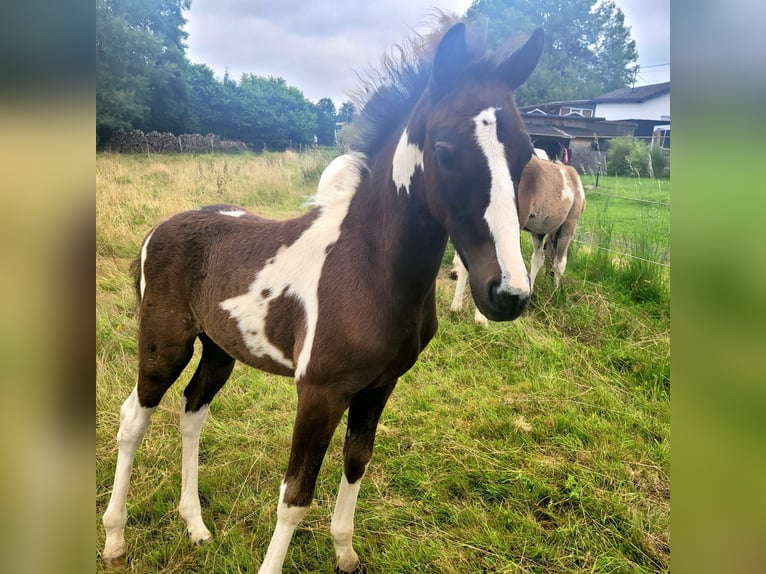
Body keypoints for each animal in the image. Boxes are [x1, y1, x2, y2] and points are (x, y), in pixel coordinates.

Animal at [100, 20, 544, 572]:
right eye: (444, 149)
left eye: (525, 153)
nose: (508, 293)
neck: (369, 268)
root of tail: (158, 229)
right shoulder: (319, 391)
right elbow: (295, 495)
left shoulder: (379, 387)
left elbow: (356, 463)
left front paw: (346, 553)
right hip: (165, 344)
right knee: (134, 419)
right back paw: (114, 538)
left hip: (219, 349)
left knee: (192, 412)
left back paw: (195, 525)